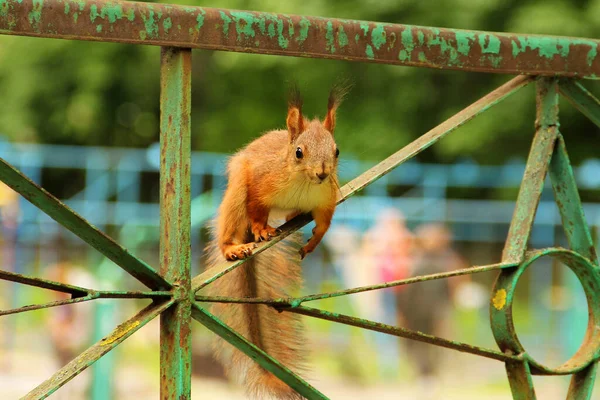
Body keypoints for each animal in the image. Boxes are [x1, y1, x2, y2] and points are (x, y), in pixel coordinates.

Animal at [205, 83, 350, 398]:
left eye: (336, 151)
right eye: (298, 153)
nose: (322, 173)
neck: (304, 184)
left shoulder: (326, 199)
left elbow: (325, 223)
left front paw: (314, 241)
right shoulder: (260, 184)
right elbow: (257, 209)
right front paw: (260, 229)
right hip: (237, 193)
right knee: (233, 222)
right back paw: (234, 247)